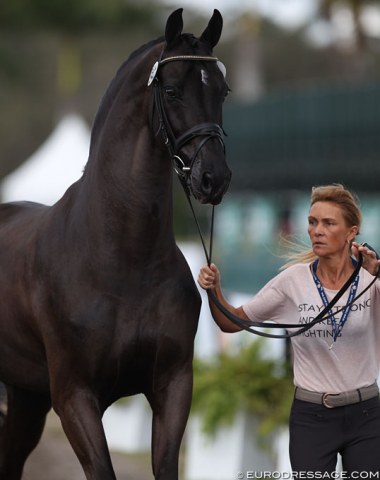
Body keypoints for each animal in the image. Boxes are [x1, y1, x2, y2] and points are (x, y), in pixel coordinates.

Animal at [0, 7, 230, 480]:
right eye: (172, 90)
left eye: (223, 91)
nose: (213, 178)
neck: (123, 260)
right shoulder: (75, 397)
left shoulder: (173, 386)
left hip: (27, 397)